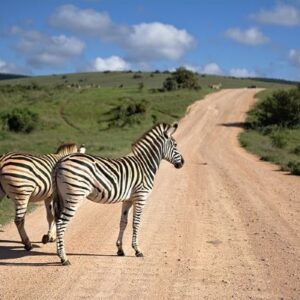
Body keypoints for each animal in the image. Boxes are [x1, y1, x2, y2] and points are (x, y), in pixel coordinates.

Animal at [53, 123, 184, 266]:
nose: (182, 163)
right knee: (61, 223)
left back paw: (59, 254)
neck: (145, 165)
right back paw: (64, 258)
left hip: (62, 197)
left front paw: (120, 249)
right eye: (175, 144)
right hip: (74, 196)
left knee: (57, 221)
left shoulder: (128, 200)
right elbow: (136, 222)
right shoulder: (141, 197)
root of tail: (60, 161)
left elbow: (123, 222)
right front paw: (137, 250)